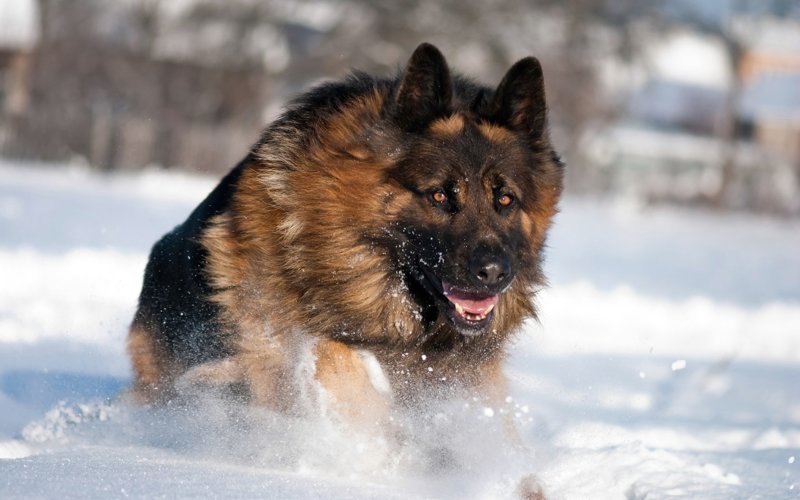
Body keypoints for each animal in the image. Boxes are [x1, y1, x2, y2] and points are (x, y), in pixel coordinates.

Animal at [126, 42, 564, 488]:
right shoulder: (276, 340)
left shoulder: (470, 380)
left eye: (505, 199)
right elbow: (337, 362)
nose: (494, 274)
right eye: (440, 196)